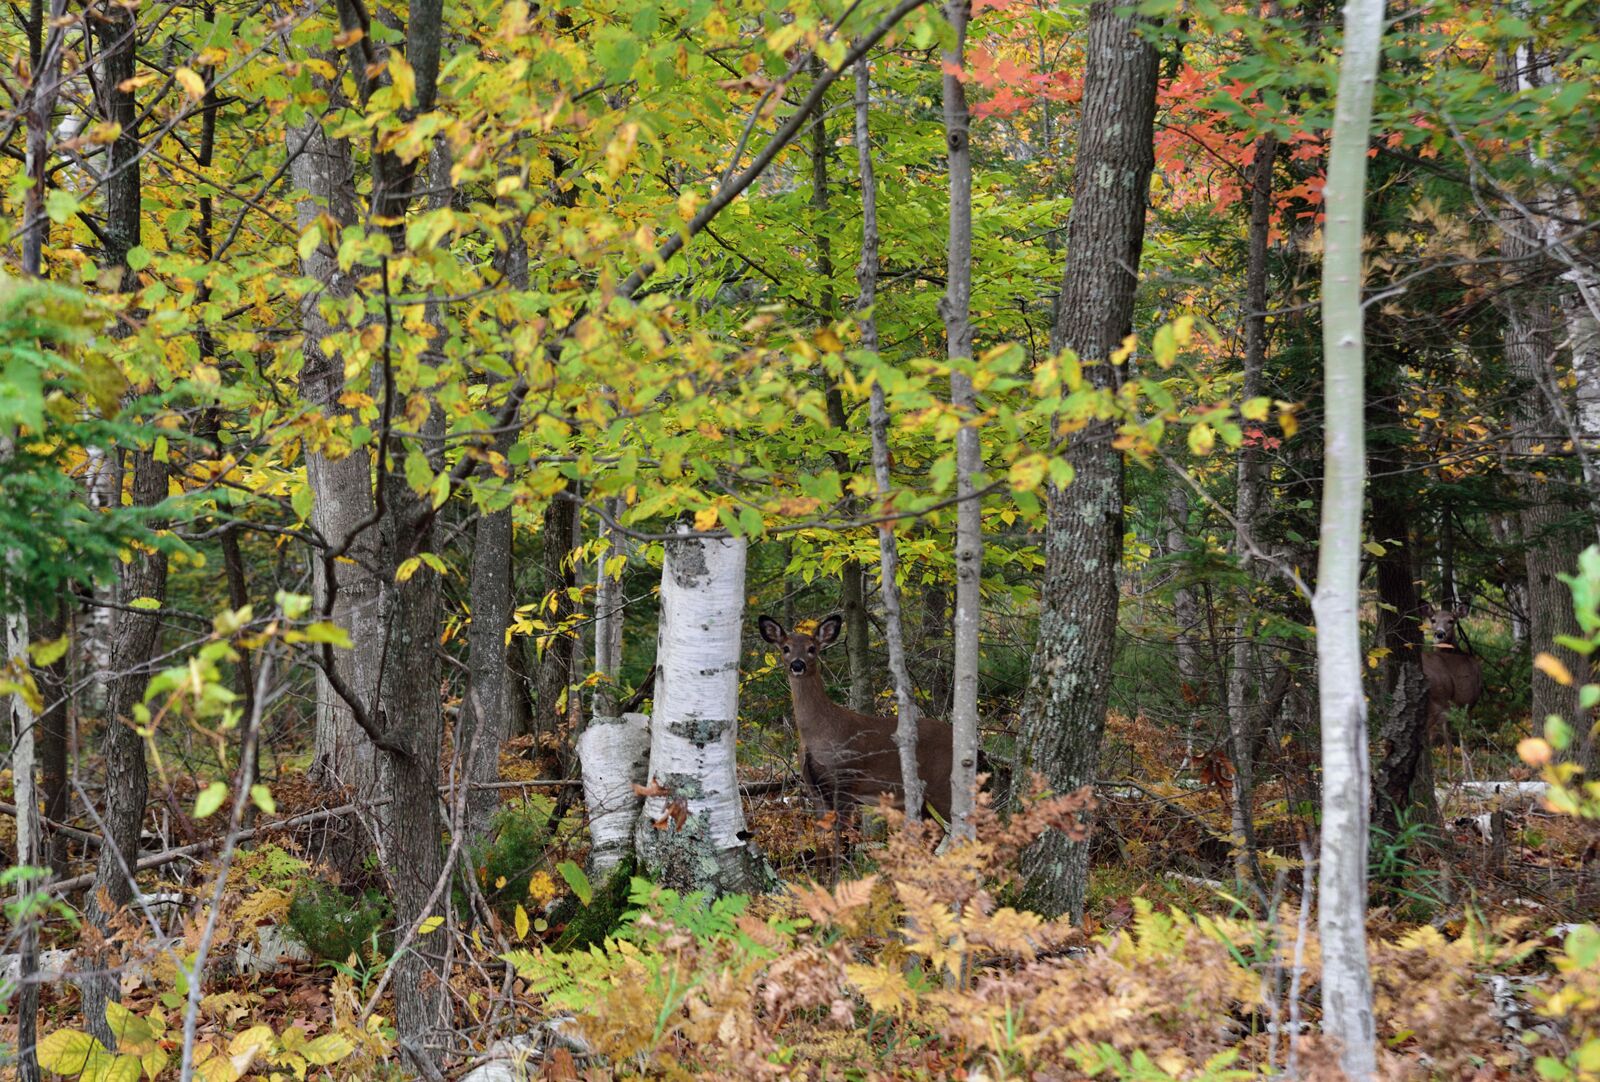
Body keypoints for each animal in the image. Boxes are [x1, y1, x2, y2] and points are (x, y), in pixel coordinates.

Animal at [757, 614, 955, 822]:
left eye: (812, 648)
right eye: (785, 648)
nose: (797, 665)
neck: (817, 734)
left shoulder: (847, 778)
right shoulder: (812, 786)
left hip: (943, 784)